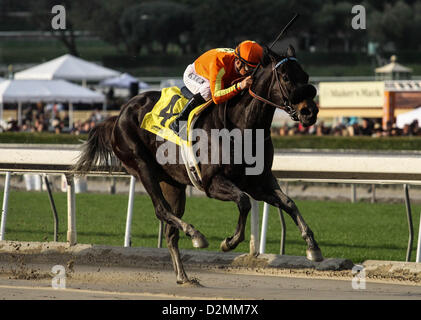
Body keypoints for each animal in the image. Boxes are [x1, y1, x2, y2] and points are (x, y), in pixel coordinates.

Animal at [73, 45, 322, 284]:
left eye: (305, 75)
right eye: (286, 77)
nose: (310, 111)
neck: (241, 126)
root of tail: (119, 115)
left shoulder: (258, 182)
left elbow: (288, 203)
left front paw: (313, 247)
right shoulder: (212, 183)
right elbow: (243, 202)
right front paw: (229, 242)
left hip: (173, 183)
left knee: (170, 231)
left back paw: (183, 276)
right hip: (143, 167)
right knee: (161, 210)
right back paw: (195, 235)